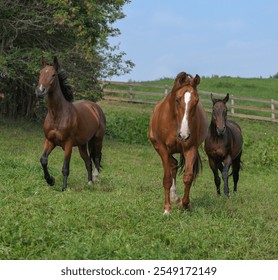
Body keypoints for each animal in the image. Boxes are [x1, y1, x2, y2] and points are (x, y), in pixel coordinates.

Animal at [36, 57, 106, 192]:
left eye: (53, 74)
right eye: (40, 73)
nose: (41, 91)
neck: (57, 115)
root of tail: (95, 107)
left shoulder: (68, 144)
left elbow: (65, 167)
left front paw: (64, 188)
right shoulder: (50, 141)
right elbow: (43, 160)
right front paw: (50, 180)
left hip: (98, 139)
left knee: (96, 157)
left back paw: (95, 179)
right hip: (82, 145)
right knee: (88, 161)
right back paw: (89, 183)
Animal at [149, 72, 207, 214]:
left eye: (196, 101)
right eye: (178, 99)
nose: (184, 135)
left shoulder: (190, 148)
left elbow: (188, 177)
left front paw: (185, 204)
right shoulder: (163, 149)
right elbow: (167, 179)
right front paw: (167, 209)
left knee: (174, 165)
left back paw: (176, 198)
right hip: (160, 148)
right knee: (172, 165)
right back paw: (173, 197)